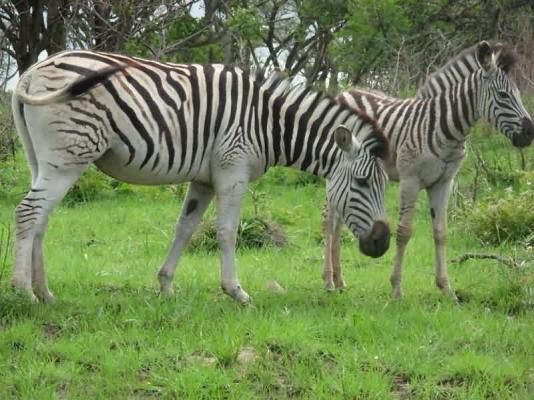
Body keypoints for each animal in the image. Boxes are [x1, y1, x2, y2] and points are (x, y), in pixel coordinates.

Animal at [10, 51, 392, 304]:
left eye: (385, 185)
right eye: (361, 183)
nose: (382, 243)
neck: (269, 122)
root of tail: (32, 72)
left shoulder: (204, 179)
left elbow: (185, 228)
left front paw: (165, 285)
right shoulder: (232, 170)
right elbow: (226, 232)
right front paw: (236, 291)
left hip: (42, 160)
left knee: (40, 219)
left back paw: (45, 292)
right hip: (68, 158)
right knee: (28, 213)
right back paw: (23, 292)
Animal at [322, 41, 534, 296]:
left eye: (519, 94)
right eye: (503, 95)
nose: (530, 133)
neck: (446, 130)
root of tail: (345, 92)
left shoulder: (444, 182)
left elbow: (441, 233)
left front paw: (446, 289)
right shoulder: (410, 180)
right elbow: (404, 232)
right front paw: (396, 288)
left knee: (339, 221)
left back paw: (340, 280)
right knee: (329, 222)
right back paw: (328, 281)